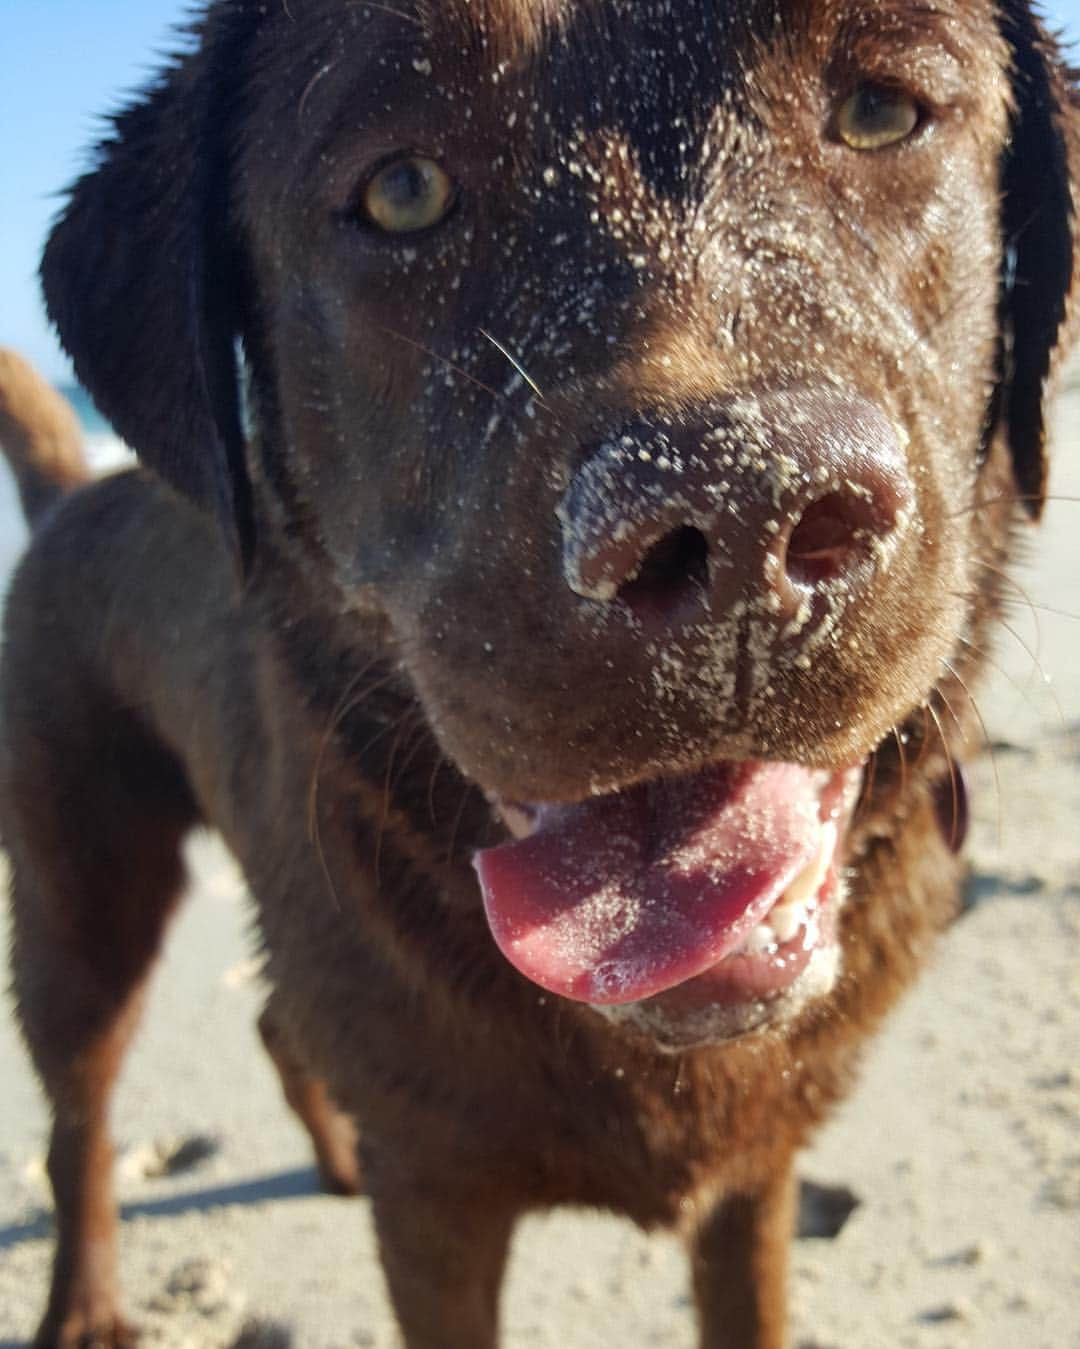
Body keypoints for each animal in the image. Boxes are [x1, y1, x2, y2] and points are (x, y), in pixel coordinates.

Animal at [2, 2, 1078, 1349]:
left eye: (883, 110)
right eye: (402, 189)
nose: (741, 512)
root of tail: (64, 497)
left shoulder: (755, 1172)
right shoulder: (438, 1198)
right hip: (82, 886)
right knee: (81, 1109)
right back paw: (88, 1300)